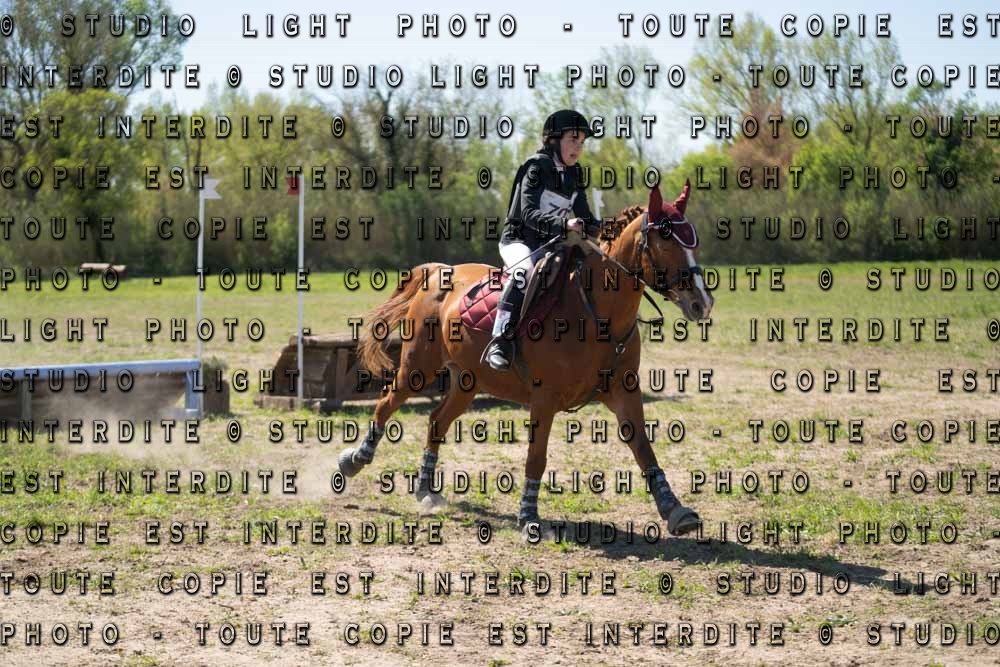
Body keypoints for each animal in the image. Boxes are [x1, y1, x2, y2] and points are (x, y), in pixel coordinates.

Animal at [338, 178, 714, 540]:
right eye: (665, 243)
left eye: (693, 244)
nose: (703, 303)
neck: (595, 310)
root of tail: (441, 272)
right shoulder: (544, 398)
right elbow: (536, 459)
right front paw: (529, 518)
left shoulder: (625, 393)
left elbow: (644, 449)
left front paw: (676, 510)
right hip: (418, 368)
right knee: (387, 403)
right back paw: (353, 461)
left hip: (467, 380)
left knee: (436, 421)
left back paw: (426, 491)